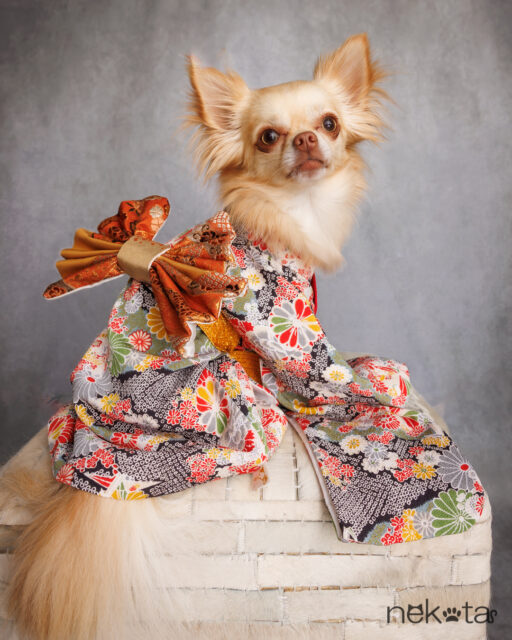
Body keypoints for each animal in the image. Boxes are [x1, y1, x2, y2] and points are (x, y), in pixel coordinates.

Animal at [1, 33, 387, 640]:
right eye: (268, 137)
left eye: (328, 124)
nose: (305, 139)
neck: (289, 214)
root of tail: (86, 470)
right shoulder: (284, 327)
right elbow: (319, 374)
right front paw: (372, 385)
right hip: (226, 398)